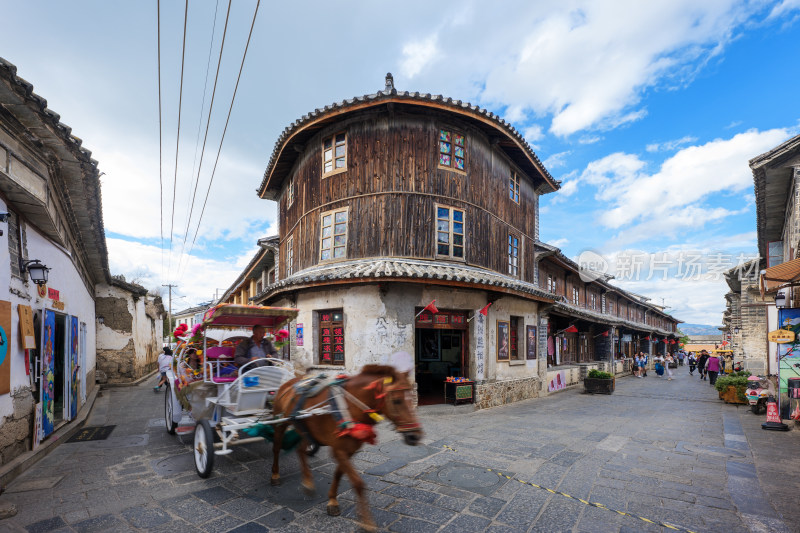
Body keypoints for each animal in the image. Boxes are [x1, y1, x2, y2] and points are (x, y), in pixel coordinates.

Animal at [272, 366, 422, 532]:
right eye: (397, 401)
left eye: (412, 398)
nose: (415, 436)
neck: (348, 407)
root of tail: (289, 382)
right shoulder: (338, 450)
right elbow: (358, 483)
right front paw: (366, 521)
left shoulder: (348, 450)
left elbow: (338, 474)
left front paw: (332, 501)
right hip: (279, 423)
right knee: (276, 448)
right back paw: (275, 475)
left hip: (306, 430)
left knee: (300, 450)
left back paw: (308, 483)